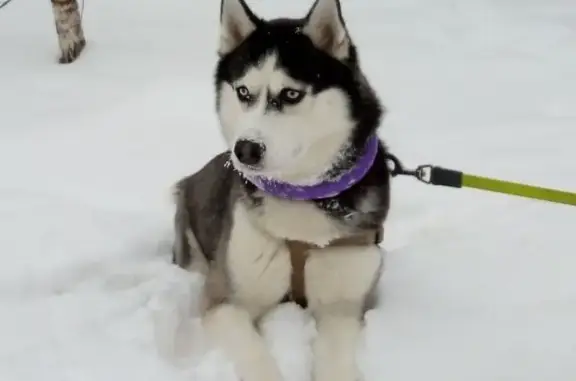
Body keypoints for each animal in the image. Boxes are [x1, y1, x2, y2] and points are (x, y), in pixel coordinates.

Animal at [172, 0, 392, 380]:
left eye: (291, 94)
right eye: (243, 92)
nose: (245, 150)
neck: (298, 196)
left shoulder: (344, 305)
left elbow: (336, 355)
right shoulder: (224, 300)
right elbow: (255, 355)